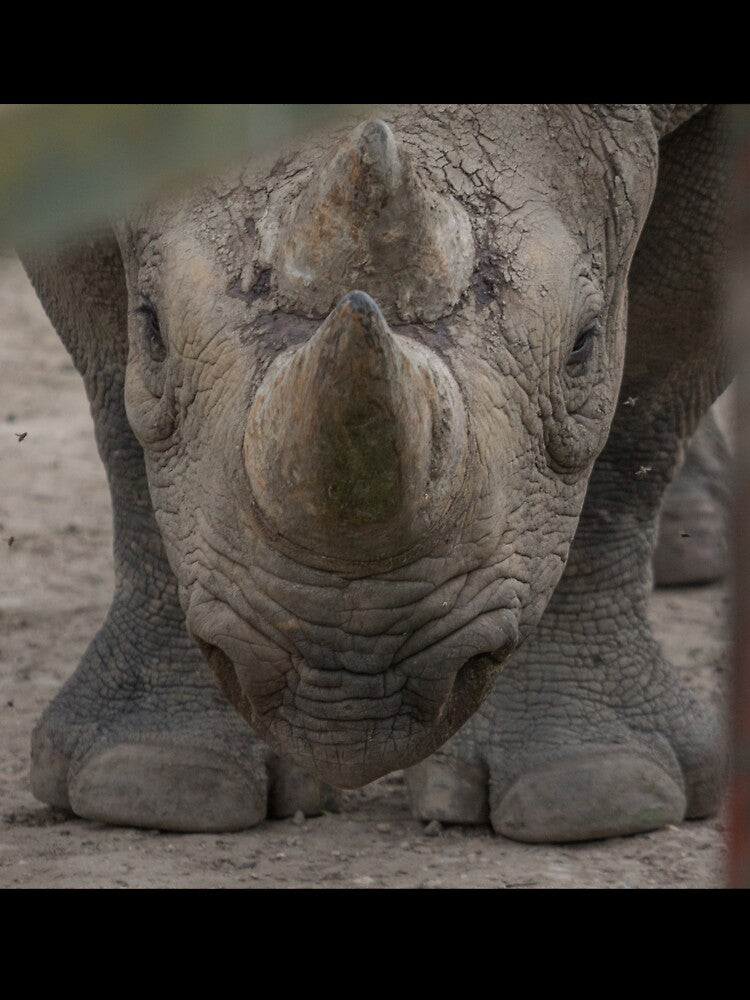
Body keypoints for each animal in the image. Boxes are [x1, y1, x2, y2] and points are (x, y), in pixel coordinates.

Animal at [20, 104, 729, 842]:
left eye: (583, 348)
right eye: (153, 332)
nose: (349, 684)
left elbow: (643, 400)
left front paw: (601, 789)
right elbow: (117, 396)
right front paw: (150, 781)